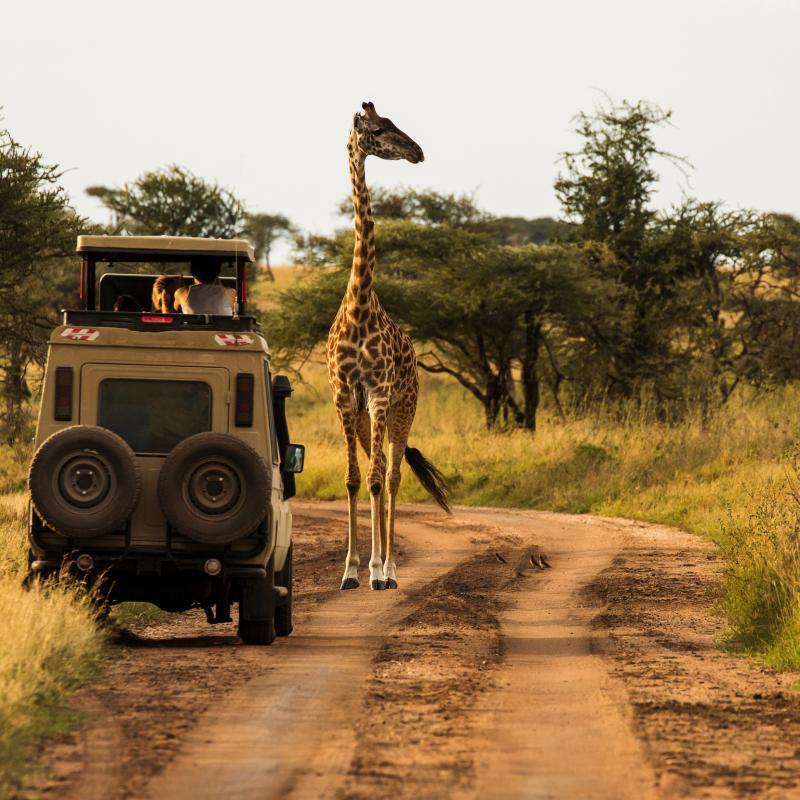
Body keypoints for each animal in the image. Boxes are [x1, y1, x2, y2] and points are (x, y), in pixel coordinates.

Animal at [327, 101, 450, 592]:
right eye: (378, 130)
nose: (418, 151)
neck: (359, 305)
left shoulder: (379, 395)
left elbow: (379, 479)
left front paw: (378, 570)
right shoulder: (345, 397)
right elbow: (353, 479)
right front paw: (350, 572)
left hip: (403, 409)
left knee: (394, 476)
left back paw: (391, 569)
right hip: (366, 417)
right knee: (376, 470)